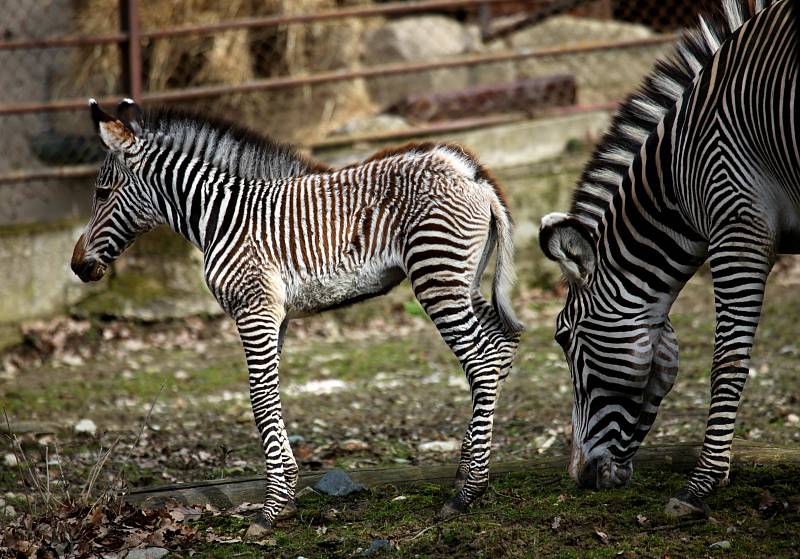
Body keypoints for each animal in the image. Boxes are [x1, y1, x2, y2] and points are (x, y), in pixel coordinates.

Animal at [70, 99, 524, 528]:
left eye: (102, 193)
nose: (77, 267)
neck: (221, 216)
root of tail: (470, 173)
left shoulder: (253, 307)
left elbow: (259, 398)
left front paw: (270, 510)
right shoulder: (276, 314)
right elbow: (270, 395)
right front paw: (285, 494)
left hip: (436, 275)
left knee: (482, 360)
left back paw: (467, 492)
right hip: (463, 279)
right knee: (502, 346)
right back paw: (468, 466)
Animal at [540, 0, 796, 520]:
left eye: (563, 337)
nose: (578, 478)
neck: (675, 176)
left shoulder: (738, 226)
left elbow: (728, 360)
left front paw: (700, 484)